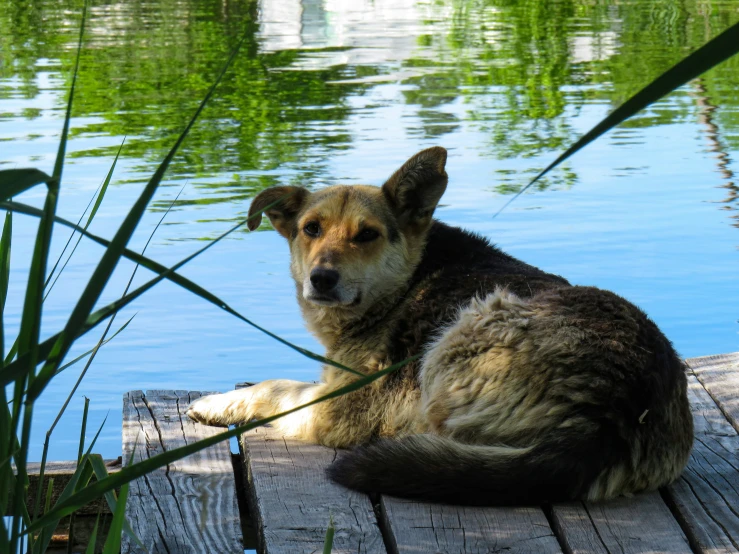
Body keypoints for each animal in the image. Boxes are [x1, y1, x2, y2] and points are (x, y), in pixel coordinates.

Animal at [188, 147, 696, 504]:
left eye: (367, 235)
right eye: (311, 229)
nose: (322, 279)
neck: (404, 280)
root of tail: (606, 417)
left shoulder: (336, 407)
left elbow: (276, 389)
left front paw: (219, 402)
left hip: (467, 329)